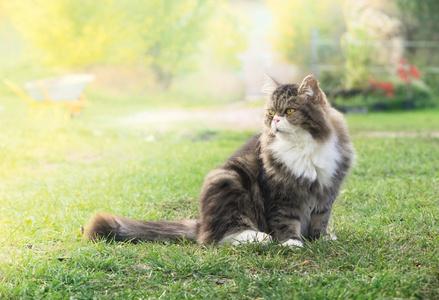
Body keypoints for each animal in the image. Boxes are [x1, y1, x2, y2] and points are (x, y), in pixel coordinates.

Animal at [87, 74, 358, 246]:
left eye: (289, 111)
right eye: (271, 112)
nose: (275, 121)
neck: (304, 146)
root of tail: (202, 223)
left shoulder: (327, 189)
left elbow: (321, 219)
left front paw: (321, 239)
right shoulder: (282, 193)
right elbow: (285, 219)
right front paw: (291, 242)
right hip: (229, 180)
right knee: (217, 237)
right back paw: (258, 238)